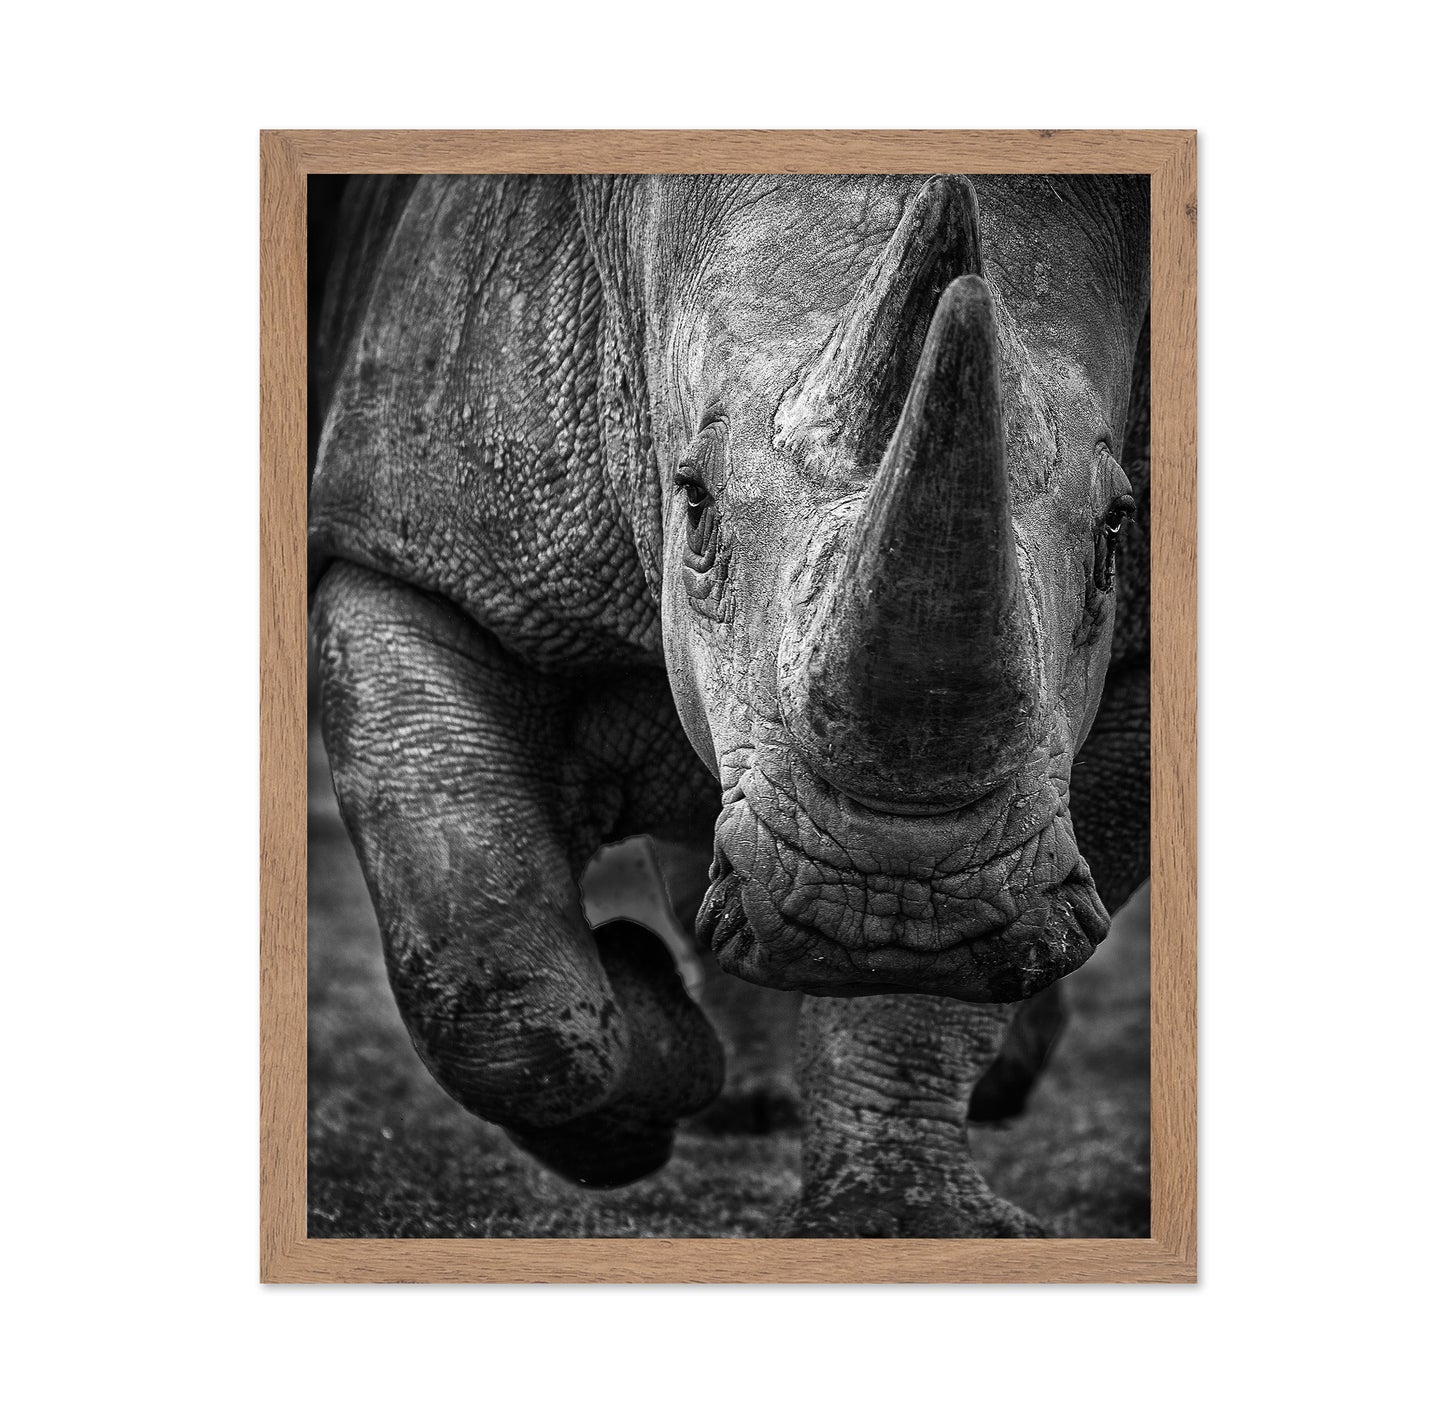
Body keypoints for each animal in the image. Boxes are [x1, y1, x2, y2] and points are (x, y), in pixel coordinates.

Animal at [309, 173, 1151, 1237]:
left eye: (1117, 531)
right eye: (695, 504)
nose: (892, 898)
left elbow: (923, 999)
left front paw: (901, 1221)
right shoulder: (409, 548)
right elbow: (491, 969)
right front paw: (652, 1042)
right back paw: (730, 1091)